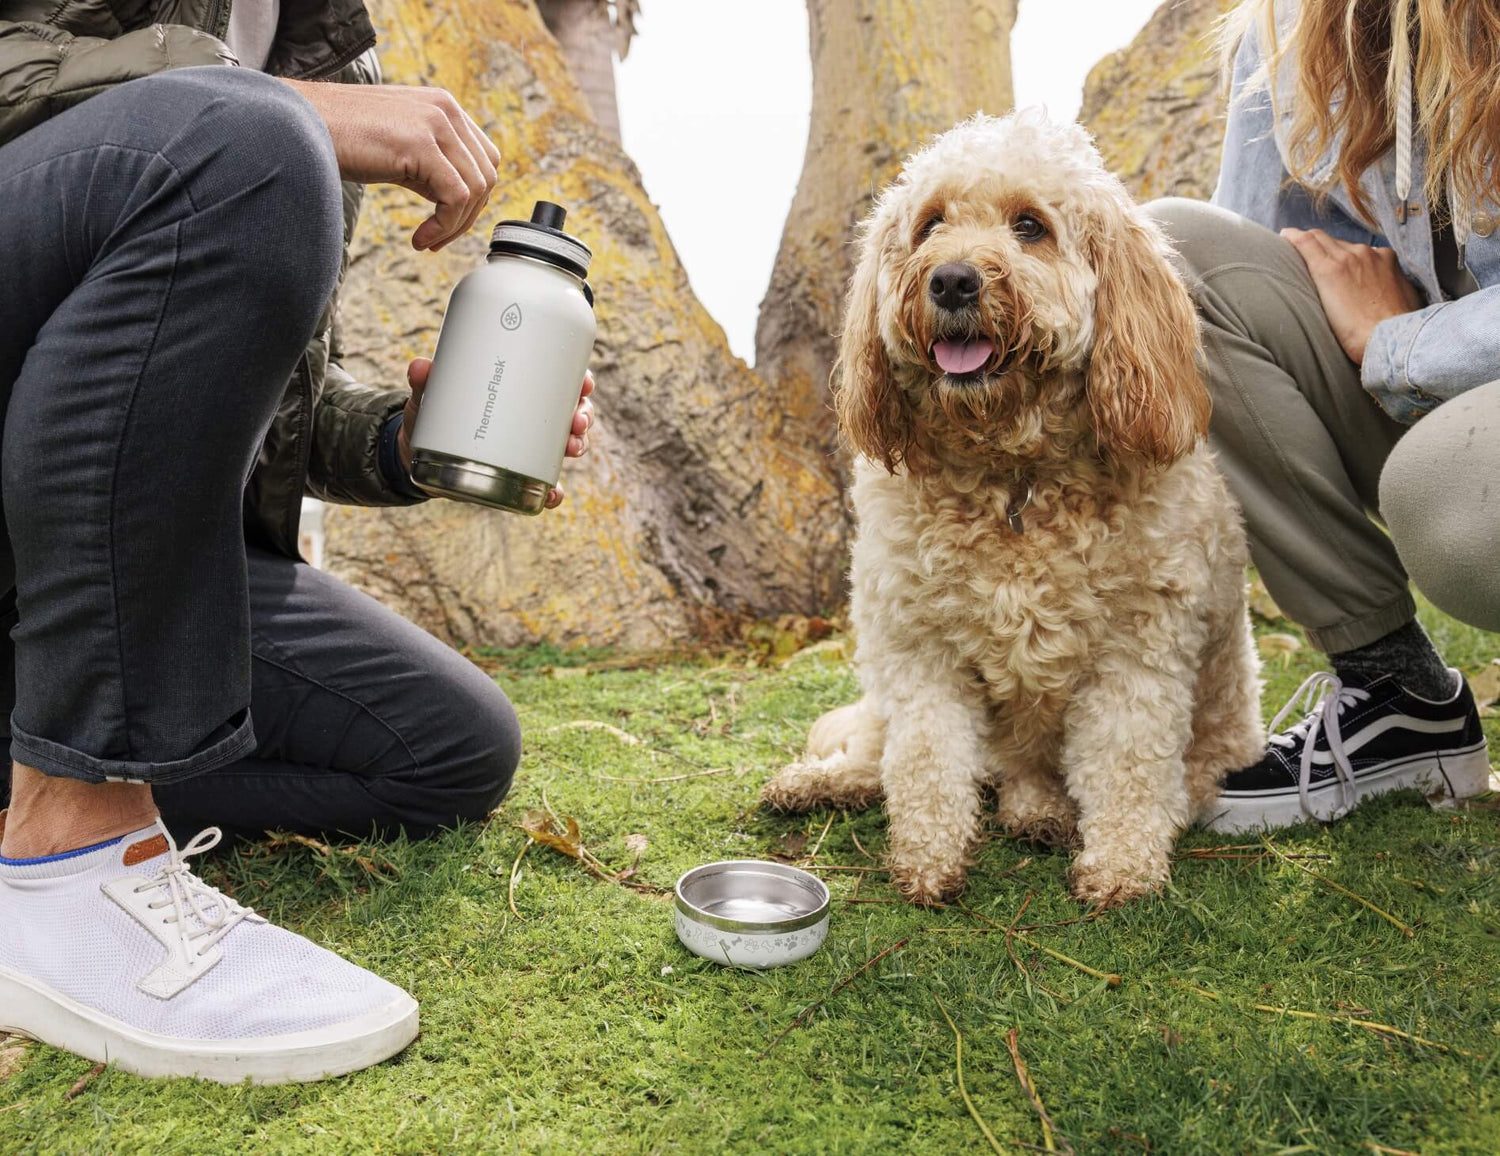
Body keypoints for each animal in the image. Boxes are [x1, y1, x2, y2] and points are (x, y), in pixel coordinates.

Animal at [762, 113, 1266, 911]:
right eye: (931, 224)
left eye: (1030, 226)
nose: (951, 279)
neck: (1013, 477)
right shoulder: (919, 651)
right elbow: (926, 759)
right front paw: (928, 860)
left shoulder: (1137, 657)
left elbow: (1126, 766)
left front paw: (1122, 867)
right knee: (882, 750)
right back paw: (819, 783)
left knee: (1031, 782)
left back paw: (1040, 814)